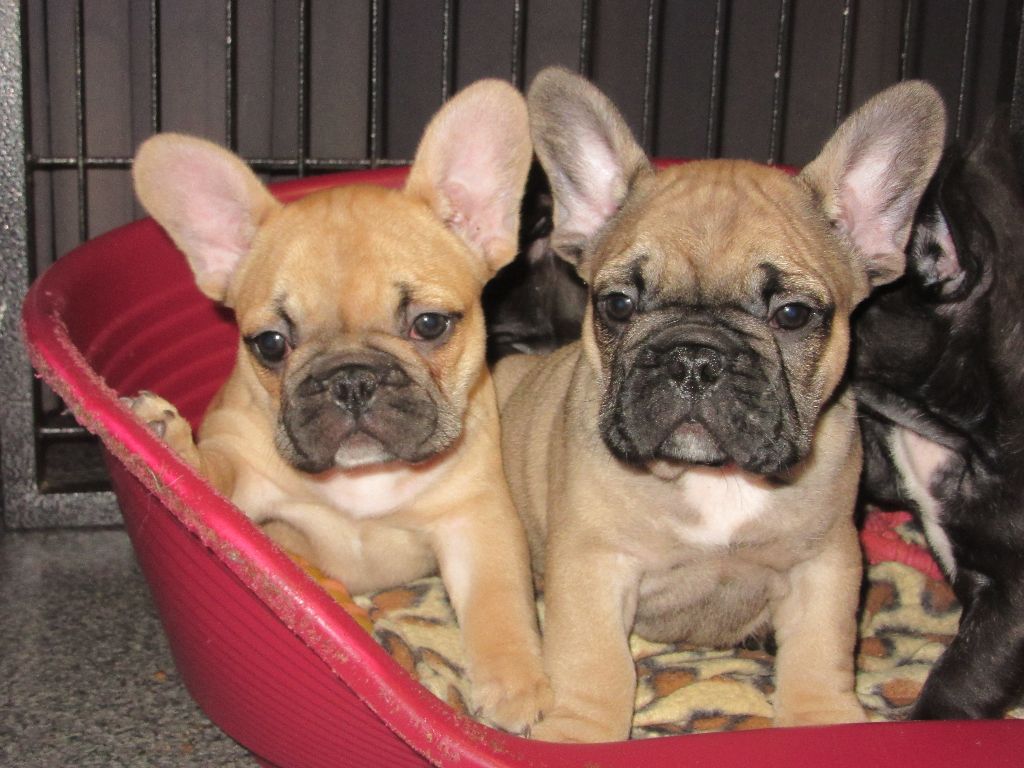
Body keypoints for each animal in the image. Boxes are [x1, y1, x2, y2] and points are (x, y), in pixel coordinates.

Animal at [124, 79, 550, 732]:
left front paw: (516, 685)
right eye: (270, 344)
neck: (363, 479)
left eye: (430, 324)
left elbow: (499, 603)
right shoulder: (245, 471)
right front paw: (170, 443)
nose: (350, 380)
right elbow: (213, 473)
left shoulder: (476, 520)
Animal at [494, 67, 945, 742]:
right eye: (618, 305)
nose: (694, 358)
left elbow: (821, 651)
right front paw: (580, 734)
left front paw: (824, 722)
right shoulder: (593, 562)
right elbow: (595, 661)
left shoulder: (826, 561)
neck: (715, 478)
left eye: (792, 315)